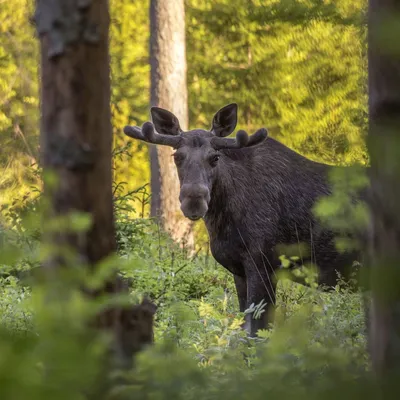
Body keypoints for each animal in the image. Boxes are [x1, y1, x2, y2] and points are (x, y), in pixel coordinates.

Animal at [123, 104, 364, 338]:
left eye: (215, 157)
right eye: (176, 156)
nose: (194, 201)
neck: (223, 222)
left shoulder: (264, 263)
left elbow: (257, 331)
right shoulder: (239, 270)